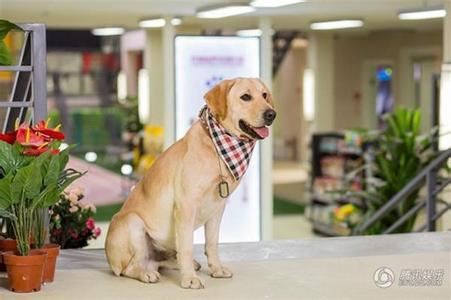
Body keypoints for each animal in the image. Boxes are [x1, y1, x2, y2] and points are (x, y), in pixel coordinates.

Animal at [106, 77, 276, 288]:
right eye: (245, 97)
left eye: (264, 95)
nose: (271, 114)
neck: (218, 147)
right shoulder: (186, 205)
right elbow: (187, 247)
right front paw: (189, 279)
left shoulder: (217, 207)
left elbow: (212, 243)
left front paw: (216, 269)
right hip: (133, 223)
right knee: (130, 267)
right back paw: (146, 274)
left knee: (161, 261)